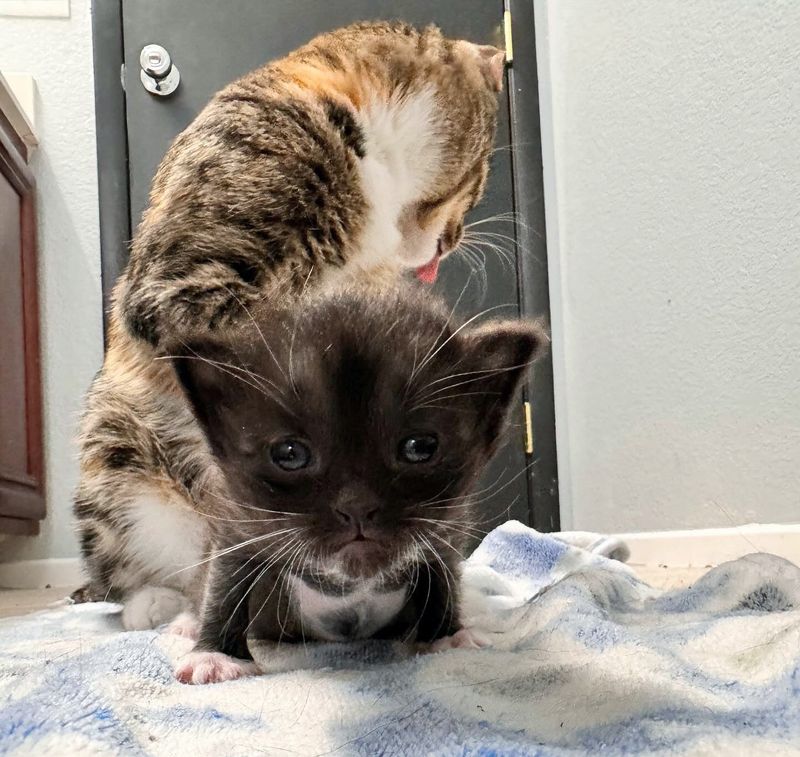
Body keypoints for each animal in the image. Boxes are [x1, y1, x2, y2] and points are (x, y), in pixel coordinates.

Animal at [169, 284, 544, 684]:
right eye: (290, 454)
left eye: (420, 447)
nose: (357, 506)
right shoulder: (236, 524)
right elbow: (225, 584)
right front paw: (214, 655)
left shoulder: (447, 529)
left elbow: (441, 576)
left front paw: (447, 635)